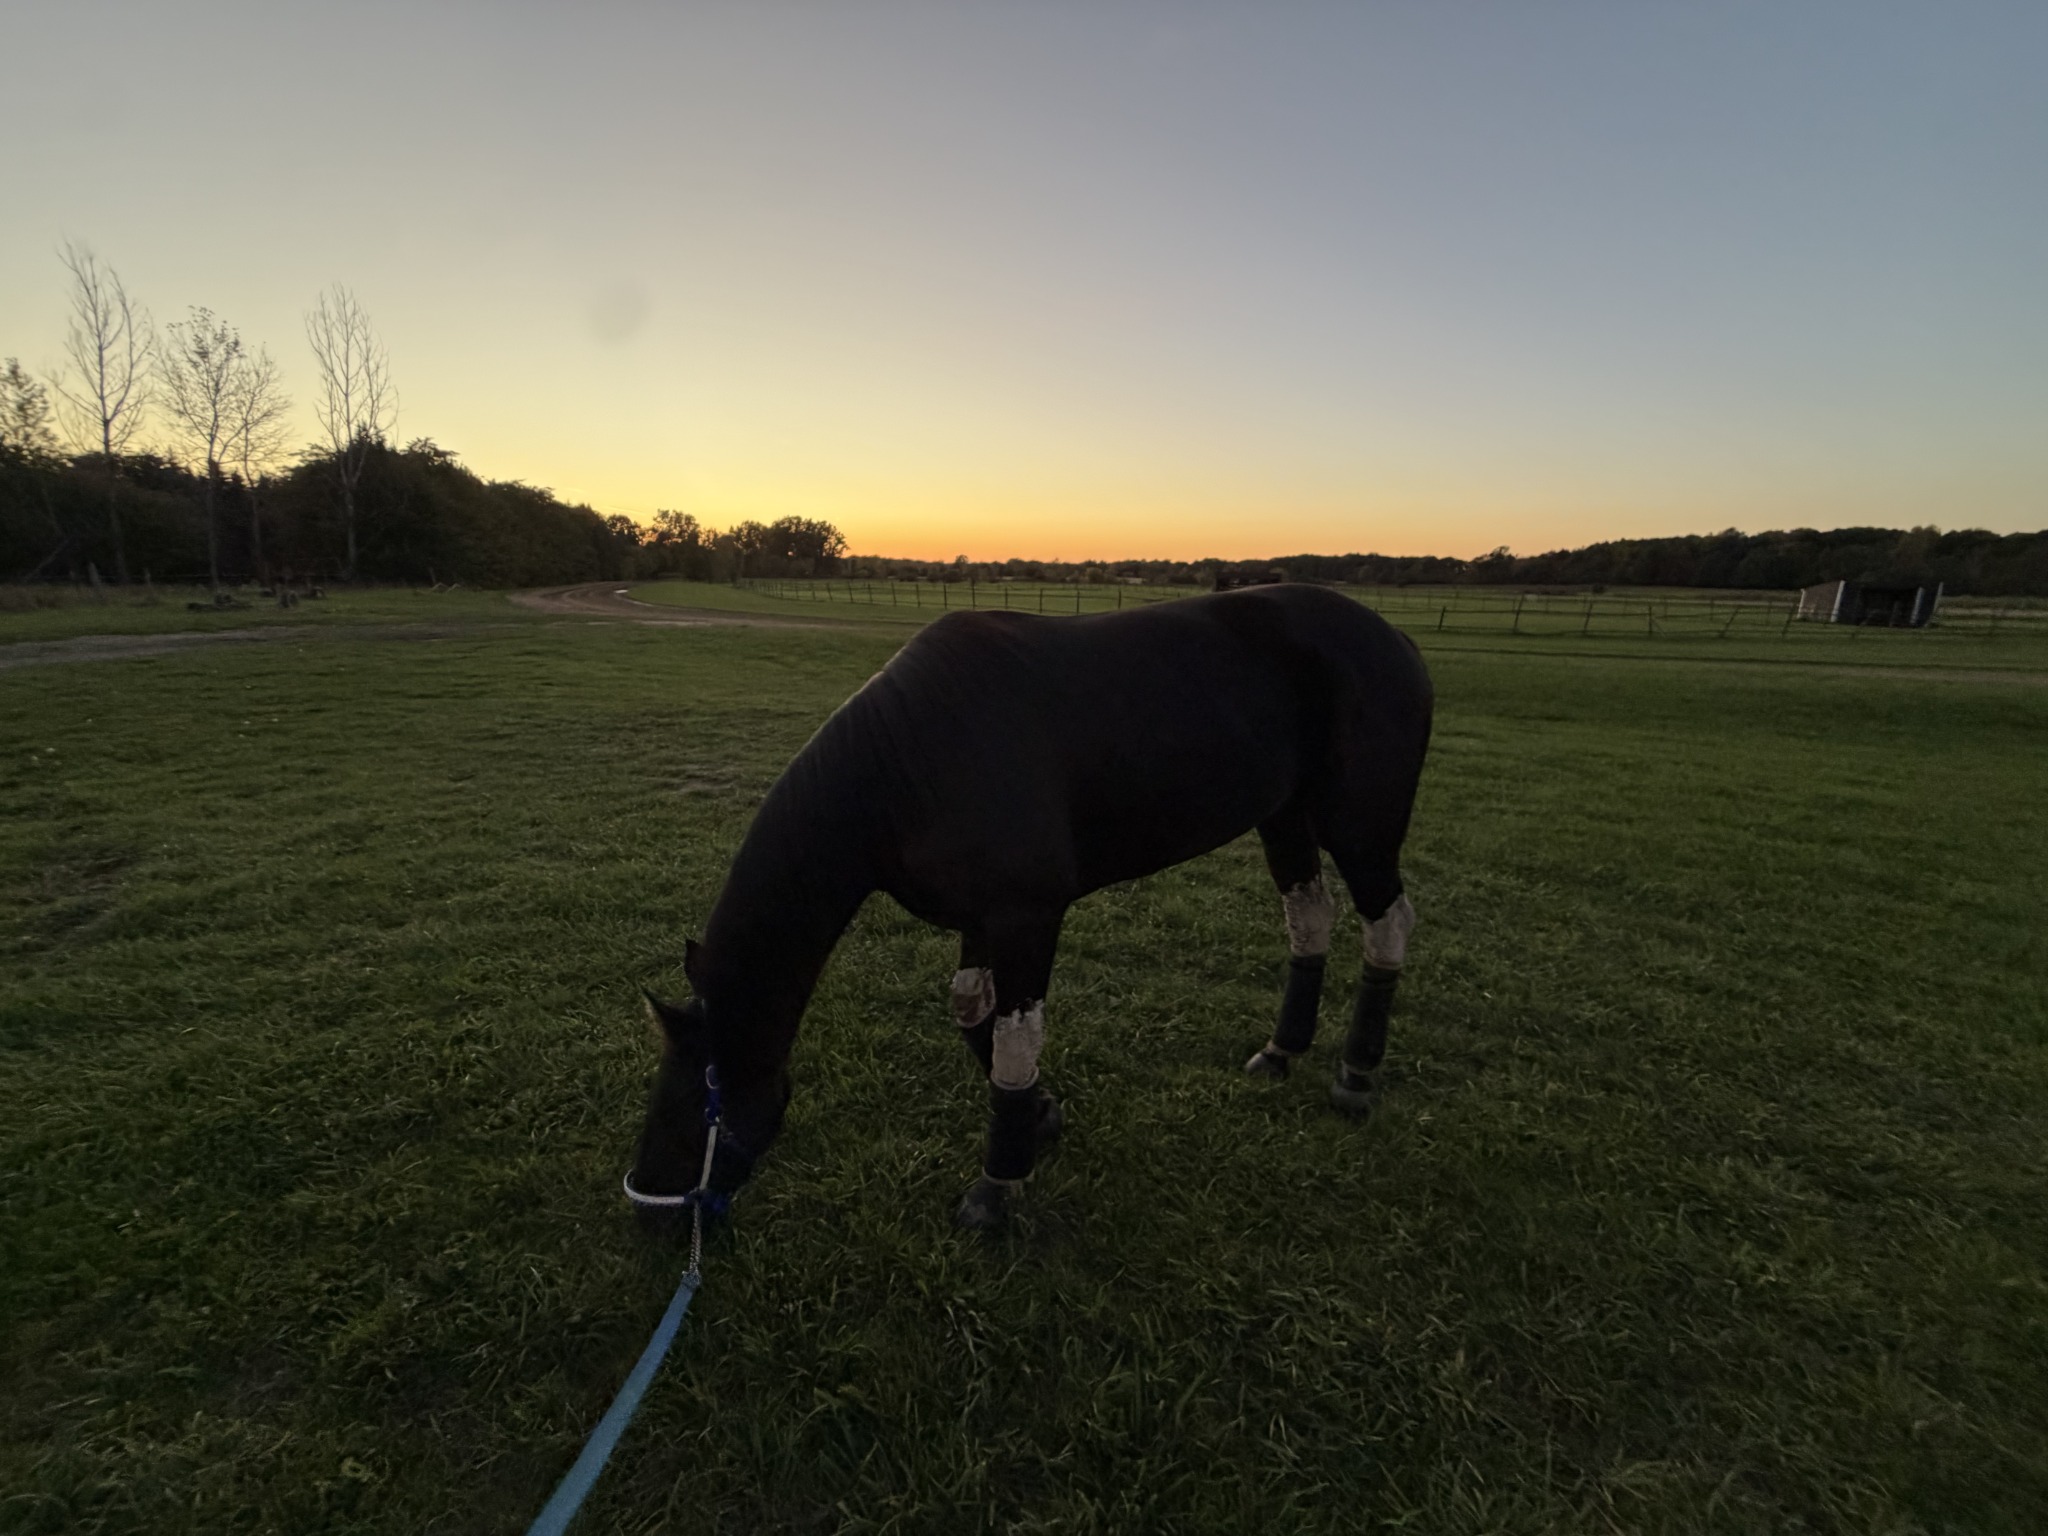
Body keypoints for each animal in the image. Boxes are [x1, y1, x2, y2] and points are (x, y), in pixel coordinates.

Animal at [628, 582, 1434, 1231]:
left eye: (688, 1112)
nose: (650, 1212)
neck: (910, 757)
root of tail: (1393, 637)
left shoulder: (1026, 917)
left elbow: (1016, 1037)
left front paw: (998, 1187)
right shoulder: (981, 922)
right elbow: (971, 1015)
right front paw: (1039, 1117)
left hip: (1360, 827)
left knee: (1385, 926)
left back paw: (1357, 1075)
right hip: (1285, 819)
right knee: (1310, 921)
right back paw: (1283, 1050)